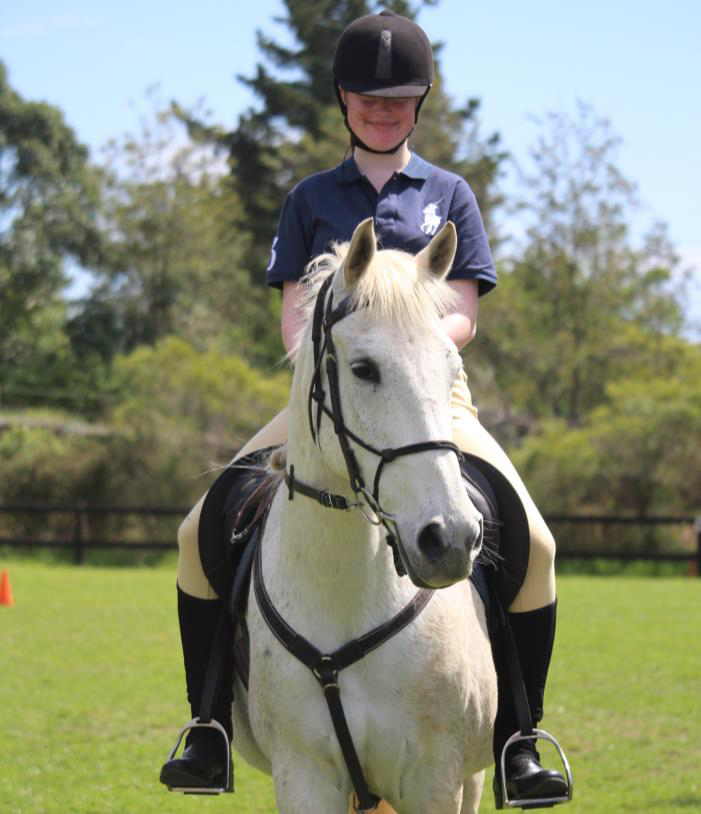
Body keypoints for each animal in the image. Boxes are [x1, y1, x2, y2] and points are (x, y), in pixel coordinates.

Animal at [232, 218, 494, 814]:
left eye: (452, 367)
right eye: (364, 369)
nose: (450, 539)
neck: (344, 592)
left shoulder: (435, 777)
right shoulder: (303, 775)